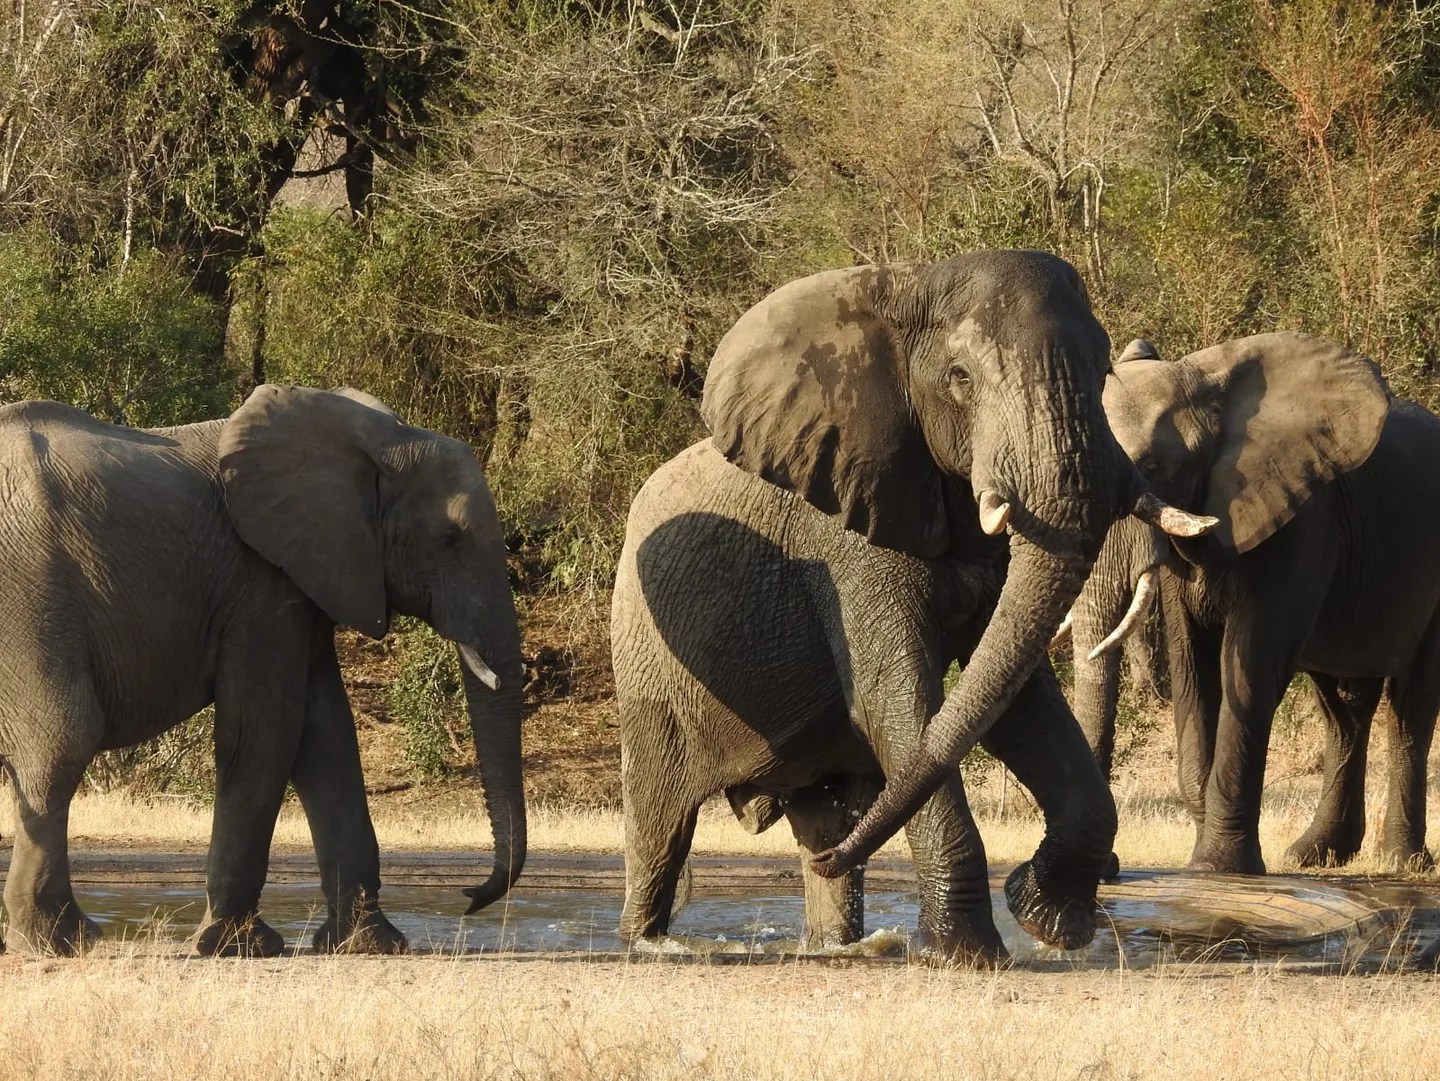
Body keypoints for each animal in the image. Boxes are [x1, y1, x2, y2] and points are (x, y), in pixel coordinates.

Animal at [0, 386, 526, 956]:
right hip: (30, 597)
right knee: (64, 740)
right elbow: (266, 730)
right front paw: (240, 946)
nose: (469, 895)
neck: (378, 438)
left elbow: (328, 732)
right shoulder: (261, 579)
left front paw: (371, 945)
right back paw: (66, 941)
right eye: (450, 539)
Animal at [612, 251, 1213, 962]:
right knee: (660, 822)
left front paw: (1046, 921)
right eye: (959, 379)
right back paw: (652, 943)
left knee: (827, 817)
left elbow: (1015, 700)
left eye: (1103, 372)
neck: (908, 290)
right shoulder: (844, 537)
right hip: (647, 659)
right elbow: (897, 699)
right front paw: (967, 956)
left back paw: (834, 930)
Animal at [1065, 332, 1440, 874]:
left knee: (1410, 704)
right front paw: (1206, 860)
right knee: (1343, 708)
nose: (1108, 868)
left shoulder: (1302, 521)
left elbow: (1248, 669)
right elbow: (1193, 668)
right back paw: (1314, 856)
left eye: (1153, 468)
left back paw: (1402, 864)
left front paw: (1217, 868)